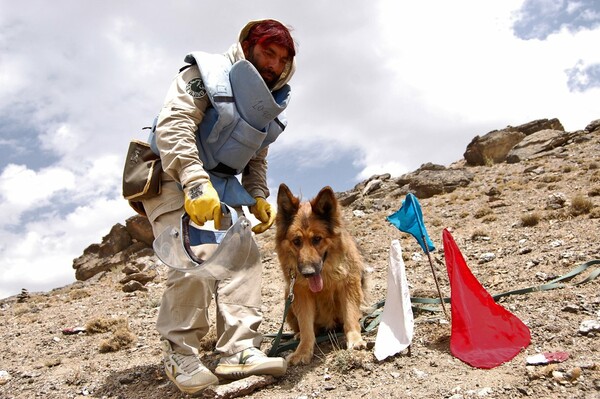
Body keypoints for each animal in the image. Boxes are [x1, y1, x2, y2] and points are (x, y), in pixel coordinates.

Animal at [274, 184, 368, 366]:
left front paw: (355, 339)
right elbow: (306, 327)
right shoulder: (300, 294)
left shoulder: (349, 286)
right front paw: (303, 351)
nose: (307, 273)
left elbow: (350, 316)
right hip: (287, 297)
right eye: (296, 241)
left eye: (317, 239)